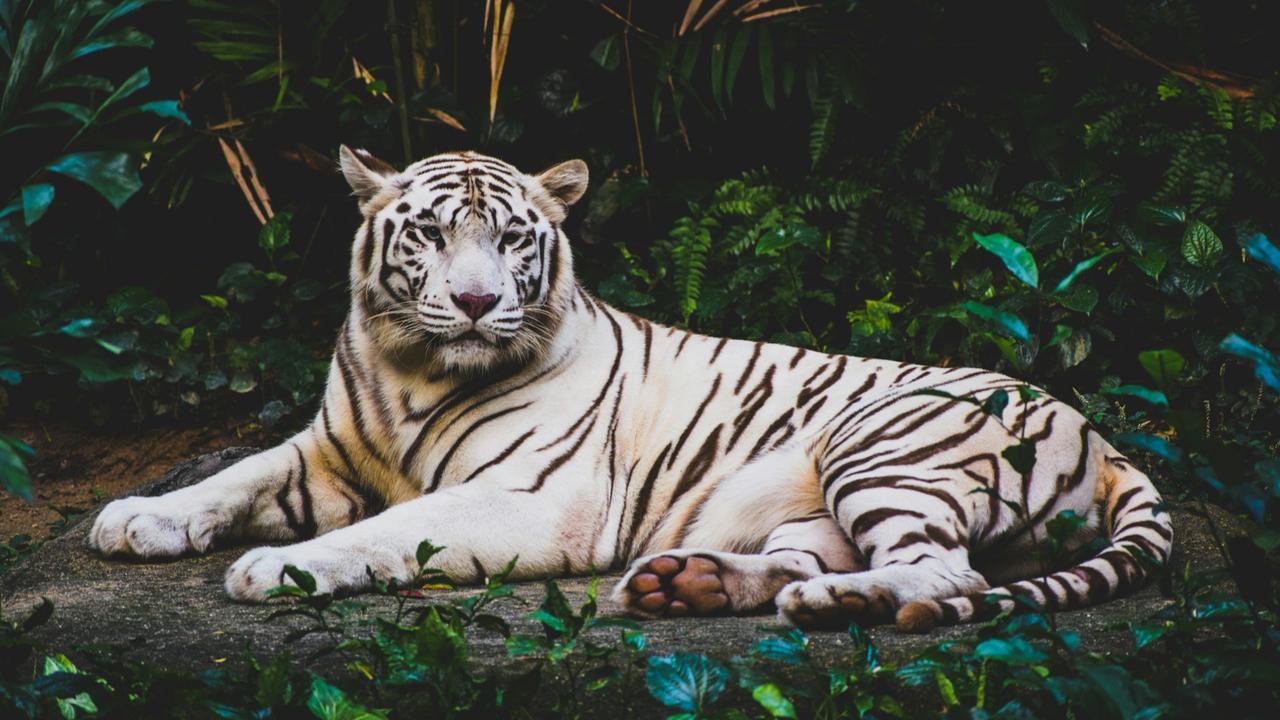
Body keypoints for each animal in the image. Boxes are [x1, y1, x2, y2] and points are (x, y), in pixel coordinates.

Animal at [87, 146, 1173, 632]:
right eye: (430, 234)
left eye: (511, 238)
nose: (476, 302)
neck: (411, 369)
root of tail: (1104, 438)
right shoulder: (327, 449)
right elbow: (235, 473)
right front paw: (137, 518)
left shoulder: (533, 499)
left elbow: (389, 530)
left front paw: (278, 569)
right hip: (814, 501)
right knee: (820, 557)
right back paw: (689, 582)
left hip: (881, 446)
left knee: (948, 575)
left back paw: (836, 603)